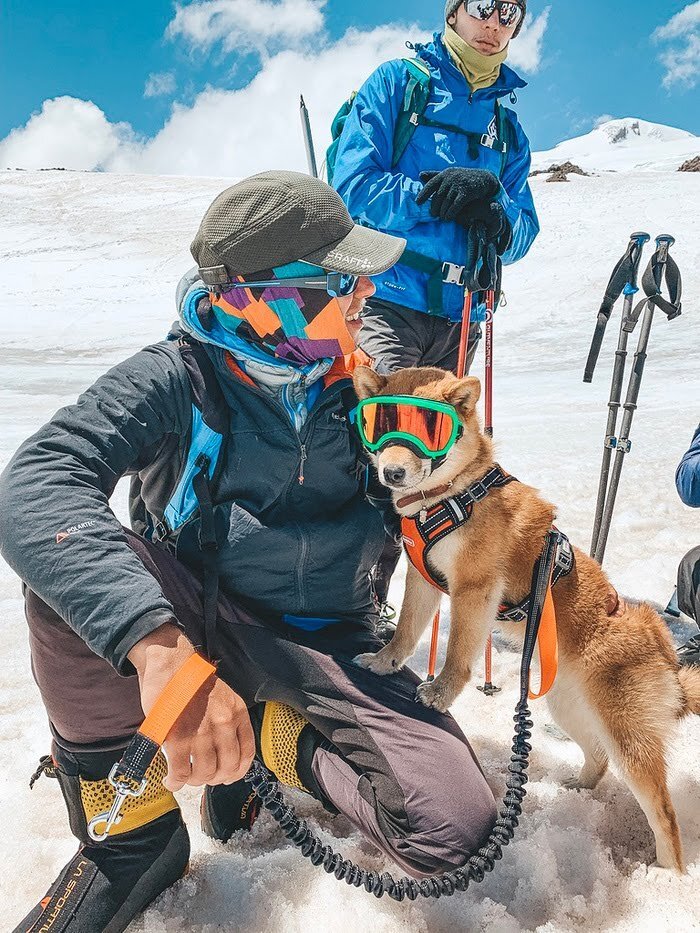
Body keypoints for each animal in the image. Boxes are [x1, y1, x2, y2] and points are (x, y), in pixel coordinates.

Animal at [352, 360, 700, 872]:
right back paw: (578, 789)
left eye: (430, 426)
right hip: (568, 708)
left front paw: (439, 693)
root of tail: (667, 659)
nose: (392, 472)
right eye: (382, 422)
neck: (450, 496)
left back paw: (668, 879)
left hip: (628, 739)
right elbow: (408, 632)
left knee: (665, 818)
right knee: (597, 758)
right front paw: (383, 662)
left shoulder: (473, 588)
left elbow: (458, 656)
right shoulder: (423, 579)